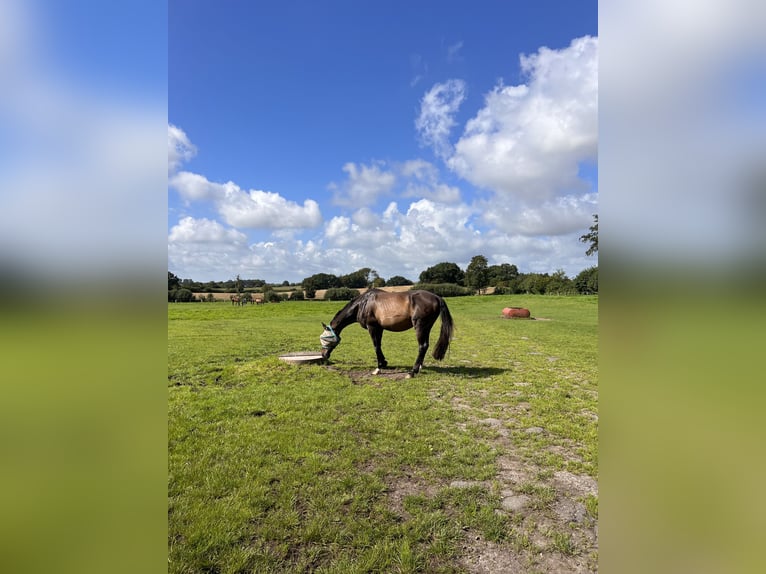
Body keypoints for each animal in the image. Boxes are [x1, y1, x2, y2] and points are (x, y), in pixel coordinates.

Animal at [320, 290, 456, 380]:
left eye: (325, 339)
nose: (323, 354)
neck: (363, 304)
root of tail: (437, 297)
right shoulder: (379, 329)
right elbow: (379, 346)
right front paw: (384, 363)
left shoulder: (372, 327)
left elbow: (376, 346)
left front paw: (378, 368)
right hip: (426, 328)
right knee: (425, 345)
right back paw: (419, 368)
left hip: (420, 326)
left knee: (422, 346)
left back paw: (412, 372)